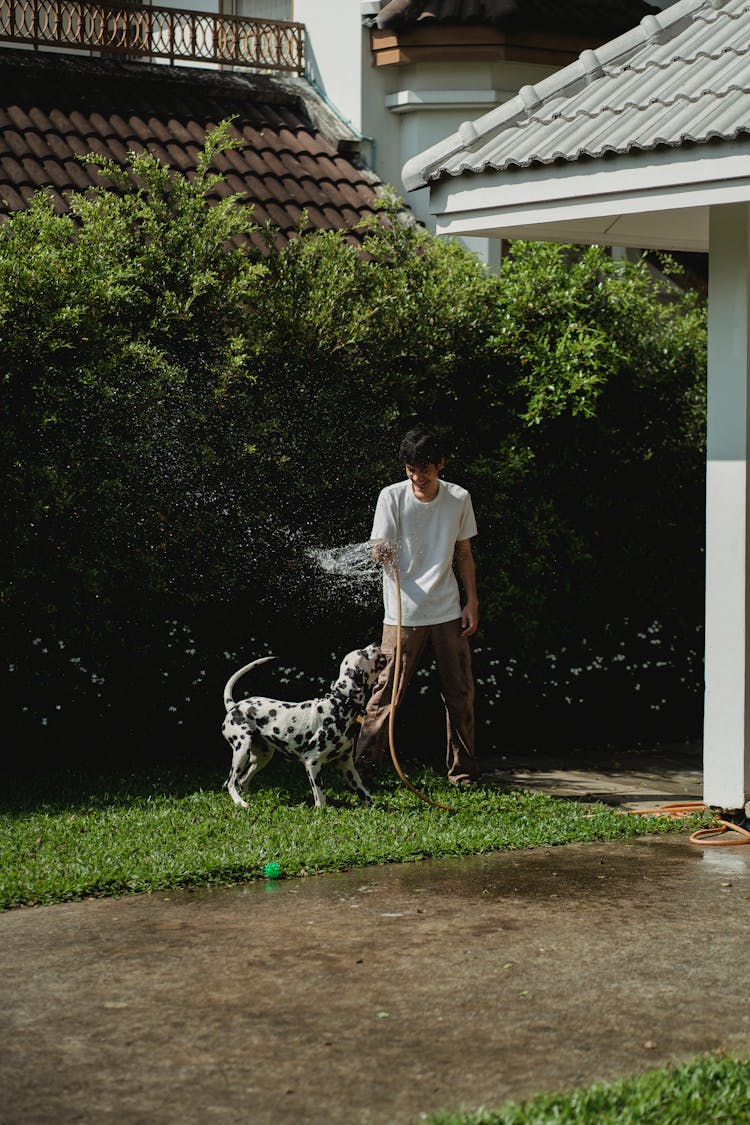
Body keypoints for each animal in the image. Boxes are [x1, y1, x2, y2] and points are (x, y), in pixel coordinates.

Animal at [221, 643, 384, 810]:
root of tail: (234, 706)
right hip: (242, 750)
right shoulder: (312, 762)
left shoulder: (347, 765)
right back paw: (240, 802)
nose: (376, 644)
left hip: (262, 756)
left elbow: (364, 792)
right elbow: (320, 798)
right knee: (231, 782)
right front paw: (320, 812)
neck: (339, 704)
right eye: (363, 653)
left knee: (242, 781)